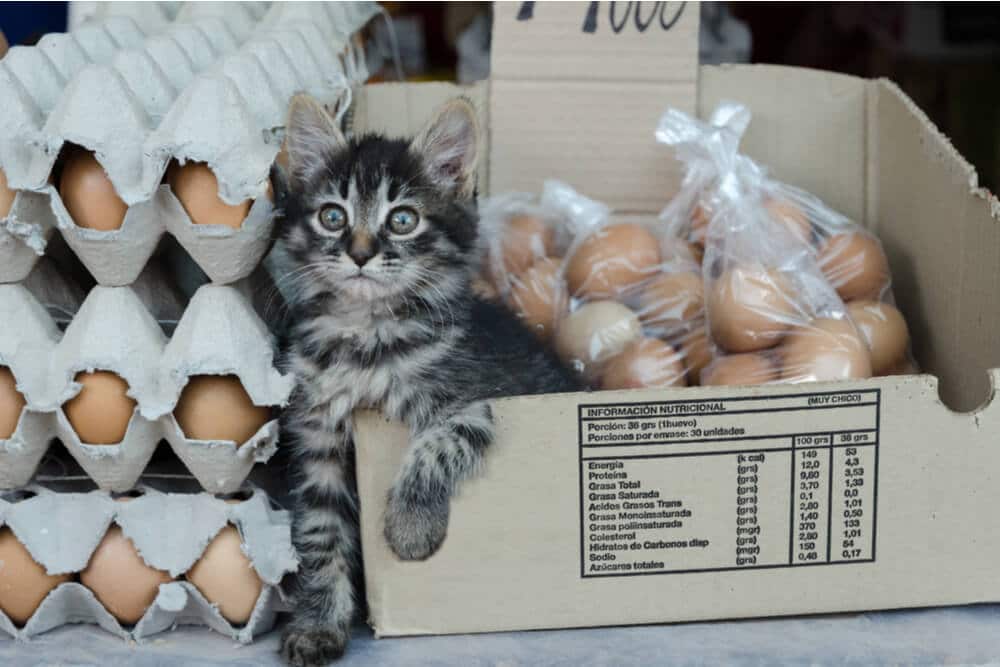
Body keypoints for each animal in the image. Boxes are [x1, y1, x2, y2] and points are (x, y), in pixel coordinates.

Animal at [272, 95, 580, 667]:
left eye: (402, 220)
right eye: (332, 216)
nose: (361, 252)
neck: (363, 337)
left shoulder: (476, 397)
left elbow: (437, 445)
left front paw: (410, 529)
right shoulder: (316, 437)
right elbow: (320, 534)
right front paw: (318, 624)